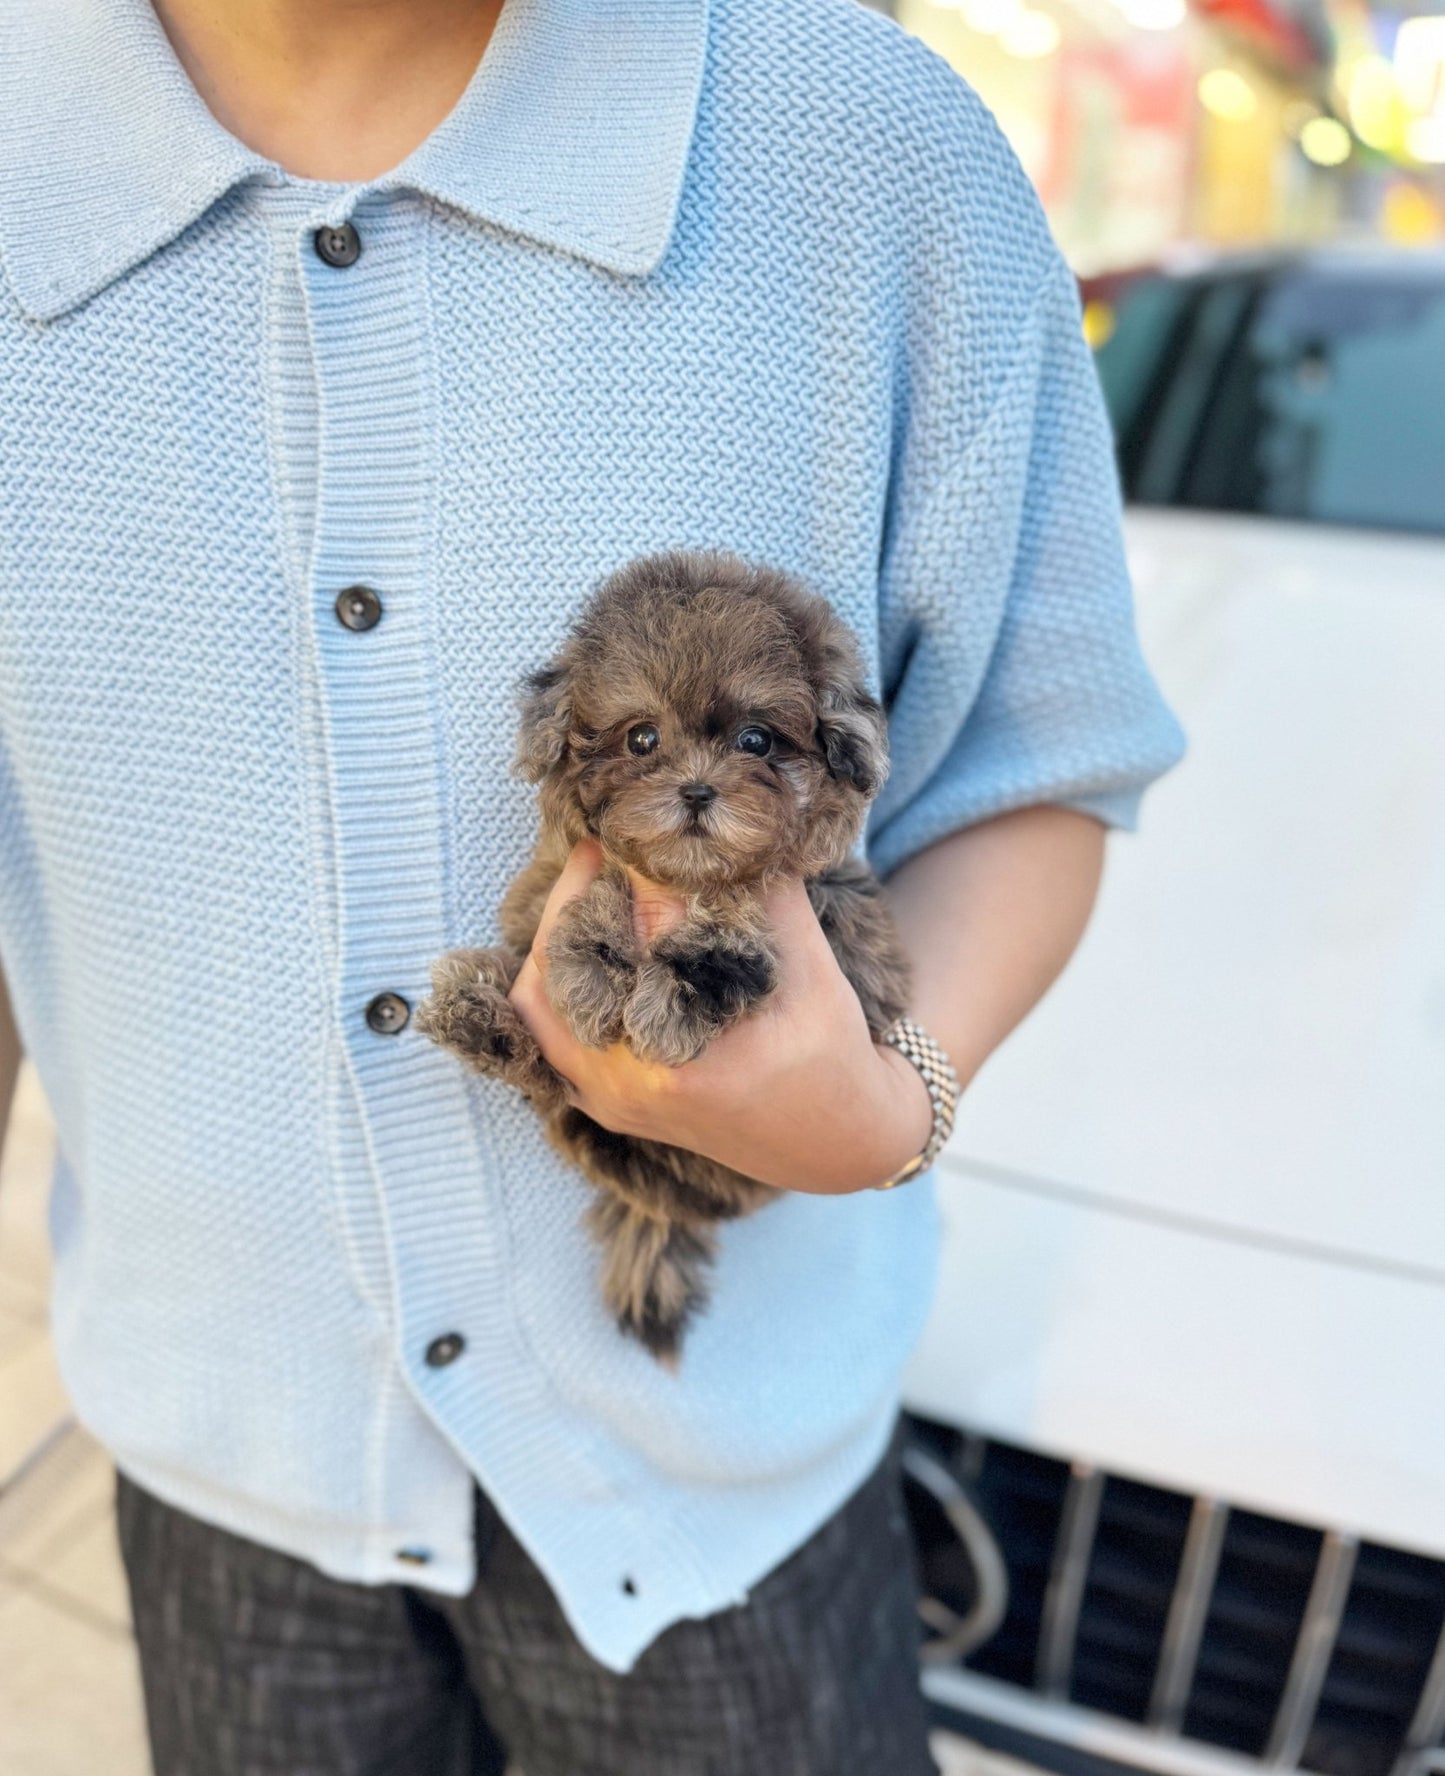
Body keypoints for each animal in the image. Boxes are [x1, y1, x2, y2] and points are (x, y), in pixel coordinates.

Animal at [418, 554, 908, 1356]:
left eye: (756, 741)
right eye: (641, 740)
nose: (698, 792)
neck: (684, 877)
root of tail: (660, 1201)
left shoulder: (829, 910)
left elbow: (736, 914)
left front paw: (681, 986)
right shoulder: (551, 880)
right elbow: (596, 883)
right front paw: (593, 963)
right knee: (540, 1072)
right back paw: (478, 1013)